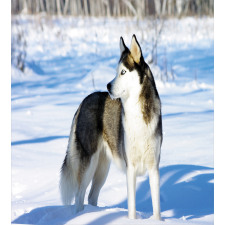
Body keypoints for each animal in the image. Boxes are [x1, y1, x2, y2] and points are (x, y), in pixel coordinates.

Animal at [59, 34, 162, 220]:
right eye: (116, 71)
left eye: (123, 72)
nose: (107, 86)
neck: (137, 116)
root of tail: (85, 100)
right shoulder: (130, 168)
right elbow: (132, 207)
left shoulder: (154, 168)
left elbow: (156, 207)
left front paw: (157, 221)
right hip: (88, 162)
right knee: (79, 195)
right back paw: (81, 216)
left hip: (102, 167)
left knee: (91, 196)